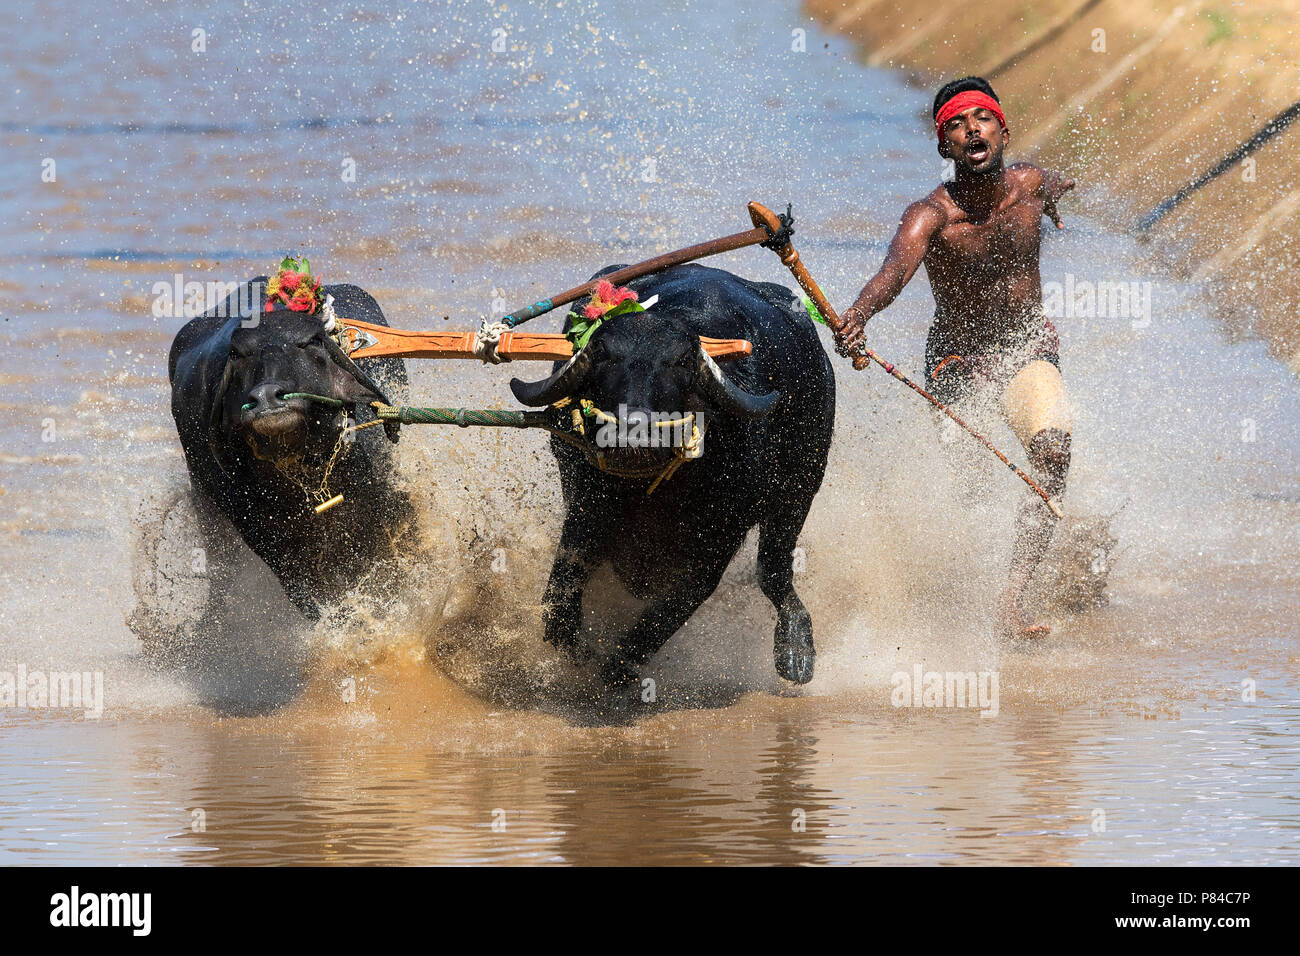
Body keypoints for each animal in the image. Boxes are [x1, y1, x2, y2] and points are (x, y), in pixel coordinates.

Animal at [506, 264, 832, 686]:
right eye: (603, 354)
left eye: (680, 361)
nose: (634, 430)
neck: (656, 488)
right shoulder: (585, 505)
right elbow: (561, 595)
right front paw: (582, 650)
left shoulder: (715, 546)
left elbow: (666, 615)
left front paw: (618, 668)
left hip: (801, 488)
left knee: (774, 572)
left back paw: (795, 650)